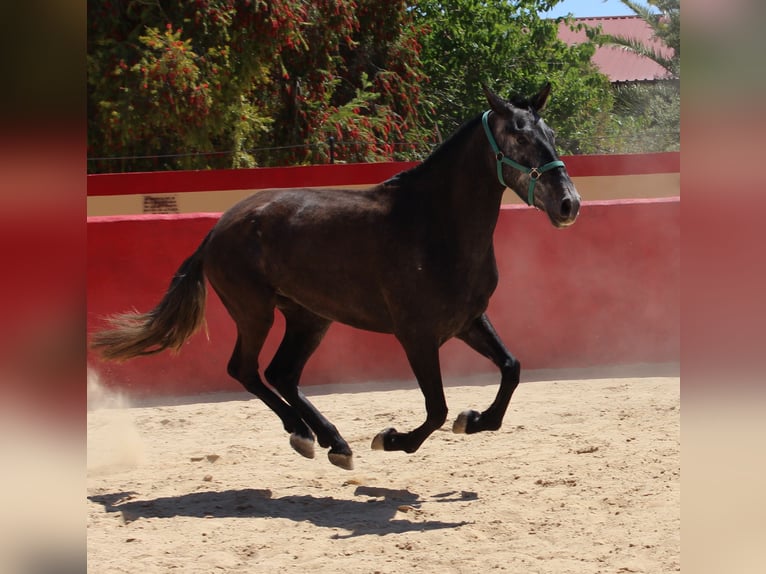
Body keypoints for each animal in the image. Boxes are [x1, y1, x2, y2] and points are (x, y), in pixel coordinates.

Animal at [90, 85, 584, 472]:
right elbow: (436, 409)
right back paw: (307, 435)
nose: (569, 203)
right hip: (255, 311)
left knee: (282, 373)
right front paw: (392, 438)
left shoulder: (467, 321)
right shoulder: (416, 334)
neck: (435, 224)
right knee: (246, 369)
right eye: (517, 135)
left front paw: (474, 420)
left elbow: (510, 369)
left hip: (309, 317)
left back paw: (331, 442)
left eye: (550, 134)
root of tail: (217, 228)